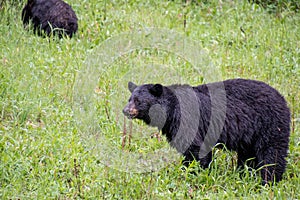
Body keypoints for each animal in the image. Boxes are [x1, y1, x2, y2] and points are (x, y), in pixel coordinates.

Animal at [123, 78, 290, 184]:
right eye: (129, 99)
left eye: (138, 101)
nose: (125, 110)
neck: (171, 110)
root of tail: (283, 99)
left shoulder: (189, 121)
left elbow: (196, 149)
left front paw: (192, 174)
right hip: (250, 136)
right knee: (247, 156)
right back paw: (243, 174)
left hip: (269, 125)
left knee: (272, 154)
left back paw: (268, 181)